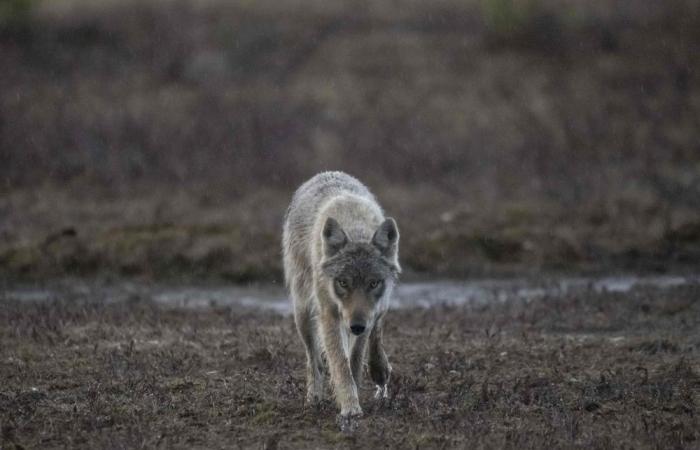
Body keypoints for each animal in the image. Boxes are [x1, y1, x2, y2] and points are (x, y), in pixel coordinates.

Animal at [283, 171, 400, 423]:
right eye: (343, 282)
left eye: (373, 283)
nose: (356, 326)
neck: (354, 225)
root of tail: (324, 173)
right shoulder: (330, 315)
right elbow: (339, 363)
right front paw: (350, 407)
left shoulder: (372, 312)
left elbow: (356, 357)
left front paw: (372, 375)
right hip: (303, 313)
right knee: (314, 359)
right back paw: (314, 398)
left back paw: (379, 370)